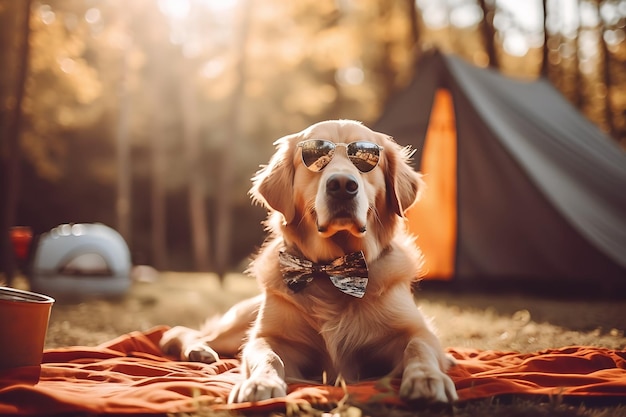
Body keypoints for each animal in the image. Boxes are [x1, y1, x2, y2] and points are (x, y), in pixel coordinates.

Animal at [158, 119, 456, 404]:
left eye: (367, 159)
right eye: (314, 156)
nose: (342, 186)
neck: (331, 270)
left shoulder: (413, 329)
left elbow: (419, 346)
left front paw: (427, 378)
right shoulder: (267, 336)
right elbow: (267, 355)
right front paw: (261, 382)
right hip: (237, 327)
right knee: (184, 332)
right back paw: (198, 349)